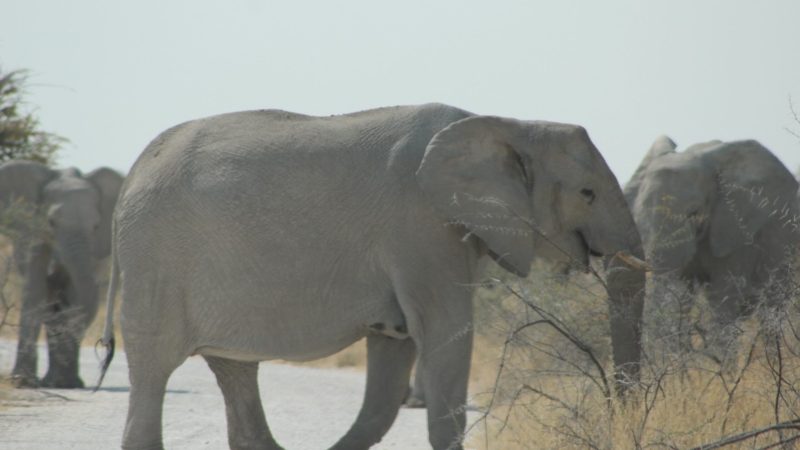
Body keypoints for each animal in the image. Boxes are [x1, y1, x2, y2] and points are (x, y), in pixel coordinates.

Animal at [0, 160, 124, 388]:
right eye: (51, 222)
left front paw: (66, 383)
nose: (105, 343)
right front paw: (23, 381)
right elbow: (35, 289)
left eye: (96, 226)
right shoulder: (32, 231)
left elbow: (76, 294)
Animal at [97, 103, 648, 448]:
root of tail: (134, 173)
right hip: (156, 259)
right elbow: (445, 334)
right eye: (587, 194)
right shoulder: (421, 227)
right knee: (154, 369)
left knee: (235, 369)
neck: (510, 123)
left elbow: (395, 353)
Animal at [624, 135, 800, 360]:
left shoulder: (736, 232)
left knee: (771, 309)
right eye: (638, 219)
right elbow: (684, 294)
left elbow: (722, 294)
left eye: (694, 212)